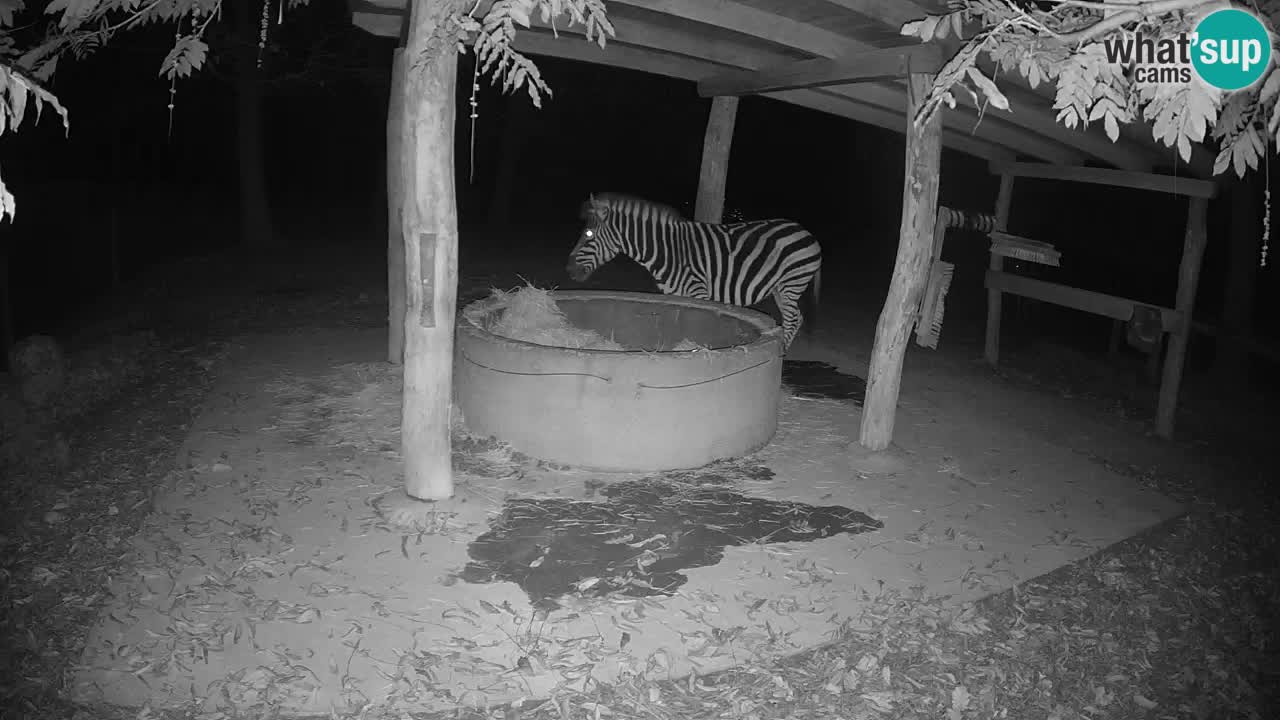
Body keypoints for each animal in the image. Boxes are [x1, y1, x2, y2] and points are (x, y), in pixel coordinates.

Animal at [566, 193, 823, 351]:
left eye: (588, 234)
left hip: (791, 284)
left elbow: (698, 326)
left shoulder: (698, 292)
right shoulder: (673, 296)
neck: (667, 251)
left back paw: (782, 353)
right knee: (797, 318)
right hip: (780, 288)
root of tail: (805, 231)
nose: (568, 270)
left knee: (792, 320)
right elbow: (674, 324)